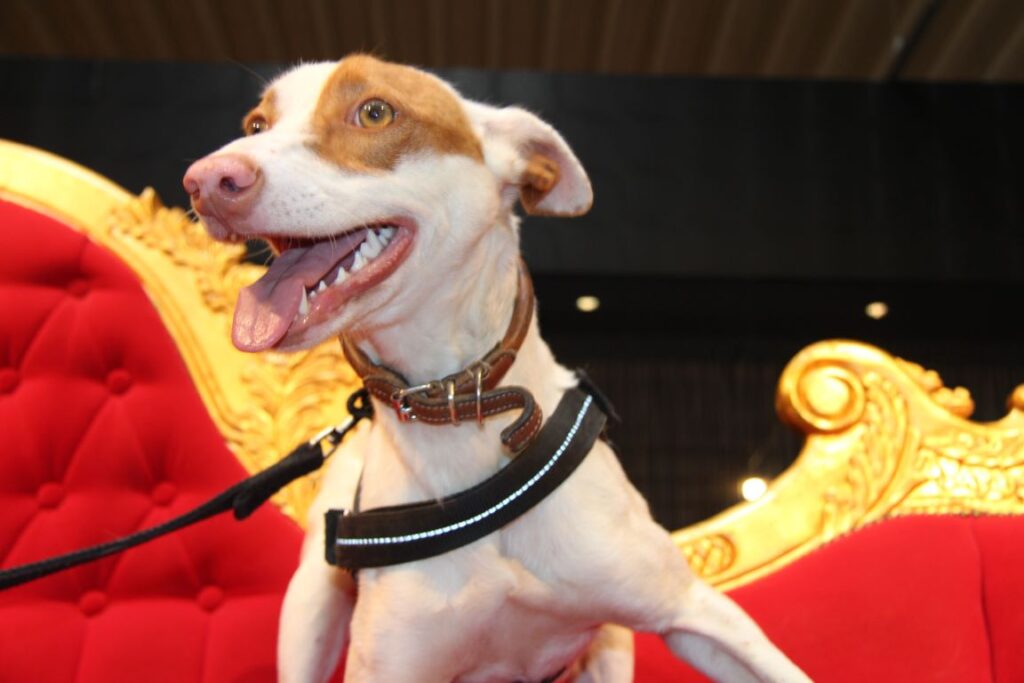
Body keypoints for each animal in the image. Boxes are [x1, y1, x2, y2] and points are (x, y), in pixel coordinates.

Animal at [183, 55, 811, 683]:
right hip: (308, 609)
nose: (207, 180)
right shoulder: (390, 664)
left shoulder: (694, 611)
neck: (456, 409)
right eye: (257, 125)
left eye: (375, 111)